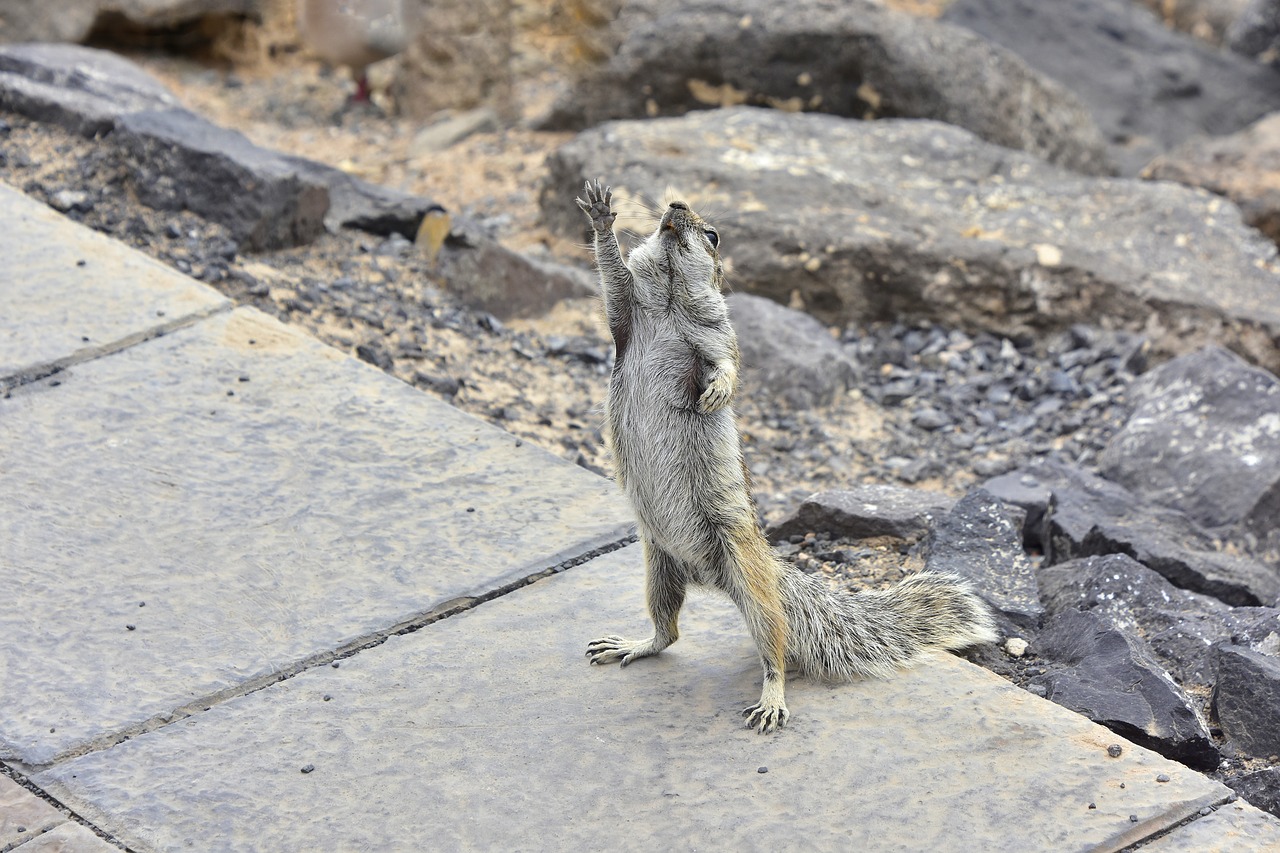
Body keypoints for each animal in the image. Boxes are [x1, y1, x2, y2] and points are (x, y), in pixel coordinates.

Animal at [573, 178, 998, 732]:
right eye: (672, 210)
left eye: (713, 234)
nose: (675, 206)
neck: (667, 300)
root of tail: (764, 572)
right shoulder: (625, 310)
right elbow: (611, 273)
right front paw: (602, 219)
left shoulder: (720, 335)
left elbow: (729, 364)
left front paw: (717, 390)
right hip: (658, 565)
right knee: (669, 632)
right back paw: (634, 643)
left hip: (748, 577)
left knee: (772, 644)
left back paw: (772, 697)